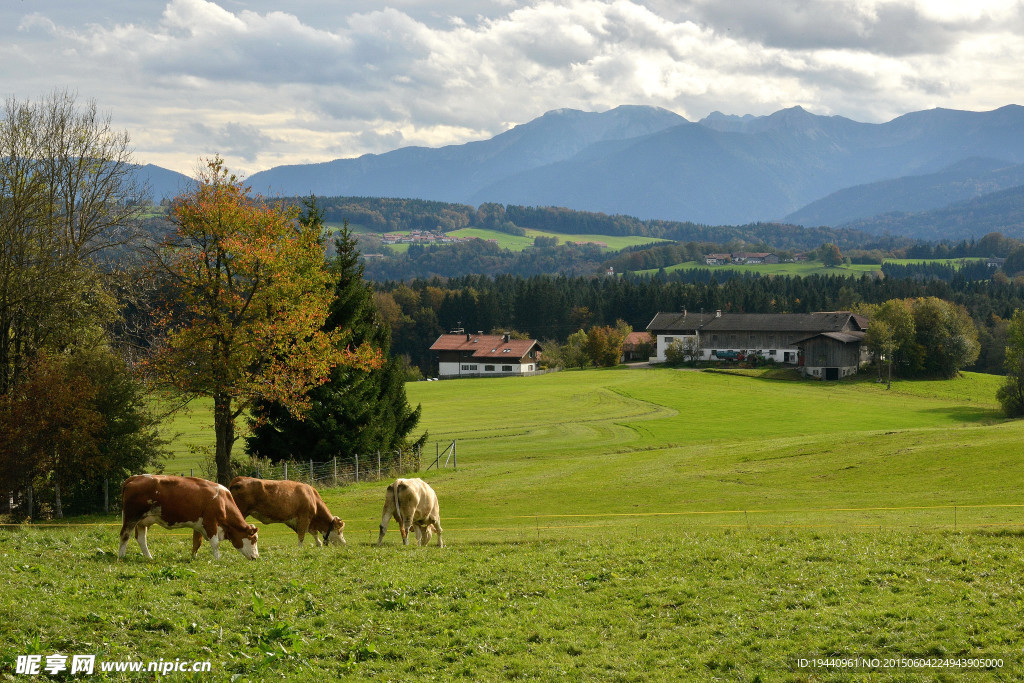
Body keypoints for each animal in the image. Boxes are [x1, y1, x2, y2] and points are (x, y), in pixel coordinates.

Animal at [118, 475, 260, 561]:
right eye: (253, 539)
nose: (256, 557)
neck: (222, 501)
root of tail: (136, 477)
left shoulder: (199, 524)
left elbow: (197, 542)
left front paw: (193, 557)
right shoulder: (210, 522)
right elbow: (215, 543)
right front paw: (218, 559)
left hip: (142, 522)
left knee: (141, 539)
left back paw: (149, 557)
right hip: (131, 517)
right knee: (125, 535)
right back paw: (121, 556)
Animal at [218, 479, 346, 548]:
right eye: (340, 530)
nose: (344, 543)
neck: (312, 497)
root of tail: (239, 479)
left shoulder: (305, 521)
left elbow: (313, 533)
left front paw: (319, 544)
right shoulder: (304, 517)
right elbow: (302, 535)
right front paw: (300, 548)